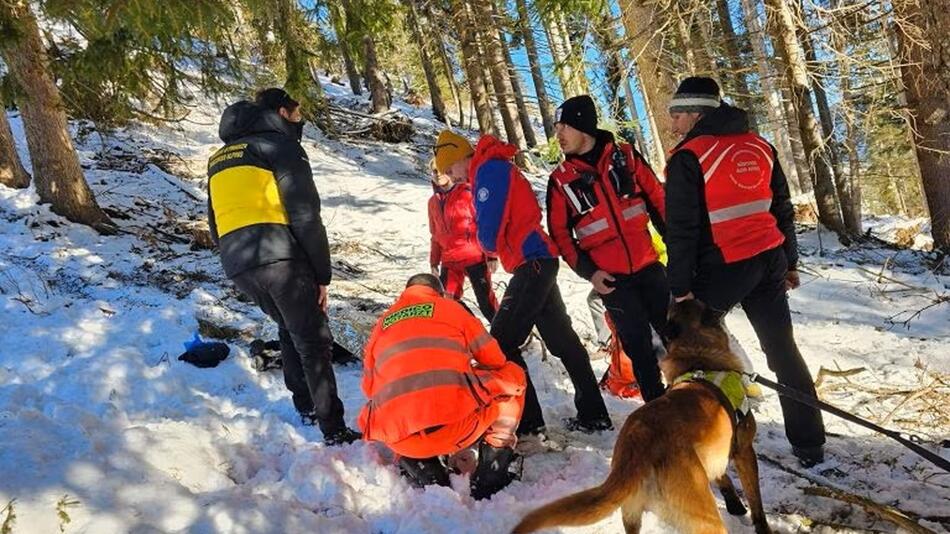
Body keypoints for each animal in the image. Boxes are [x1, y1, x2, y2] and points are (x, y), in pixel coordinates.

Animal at [512, 302, 772, 534]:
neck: (697, 357)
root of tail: (637, 445)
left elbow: (722, 476)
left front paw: (734, 503)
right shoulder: (744, 450)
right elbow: (756, 501)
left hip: (632, 516)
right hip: (706, 519)